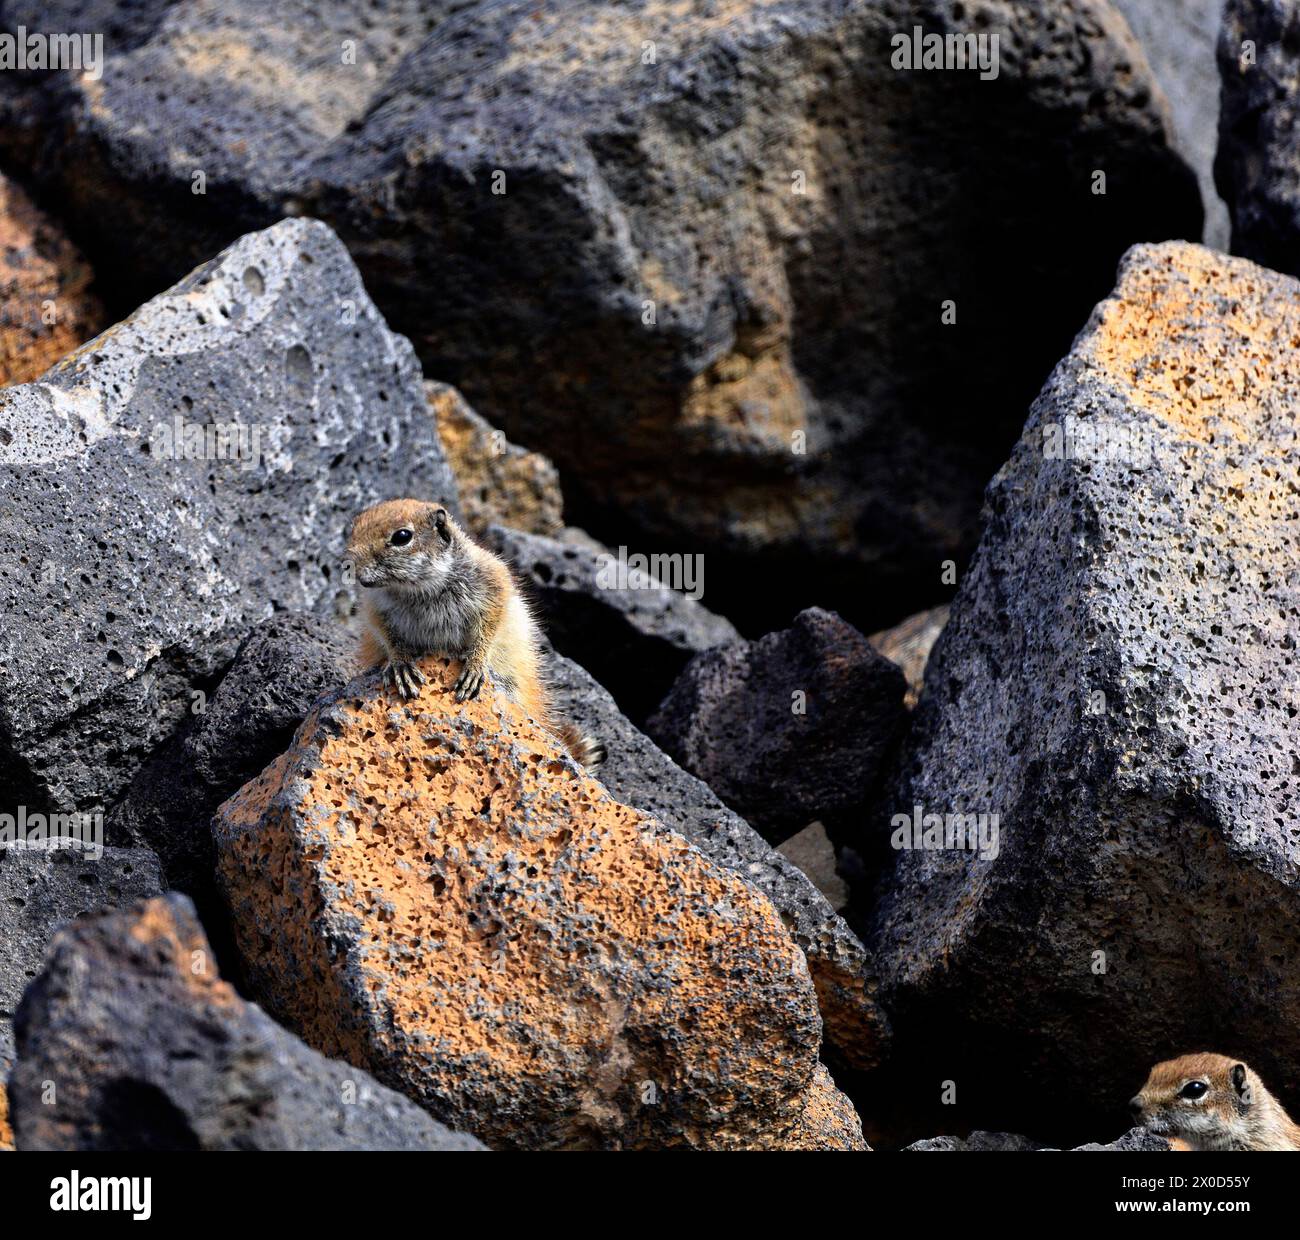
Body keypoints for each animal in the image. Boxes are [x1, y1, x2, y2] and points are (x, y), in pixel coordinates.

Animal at [345, 498, 605, 770]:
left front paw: (474, 665)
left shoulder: (493, 587)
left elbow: (489, 629)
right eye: (354, 527)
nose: (358, 574)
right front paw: (401, 664)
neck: (420, 590)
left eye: (402, 536)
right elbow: (387, 635)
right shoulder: (374, 608)